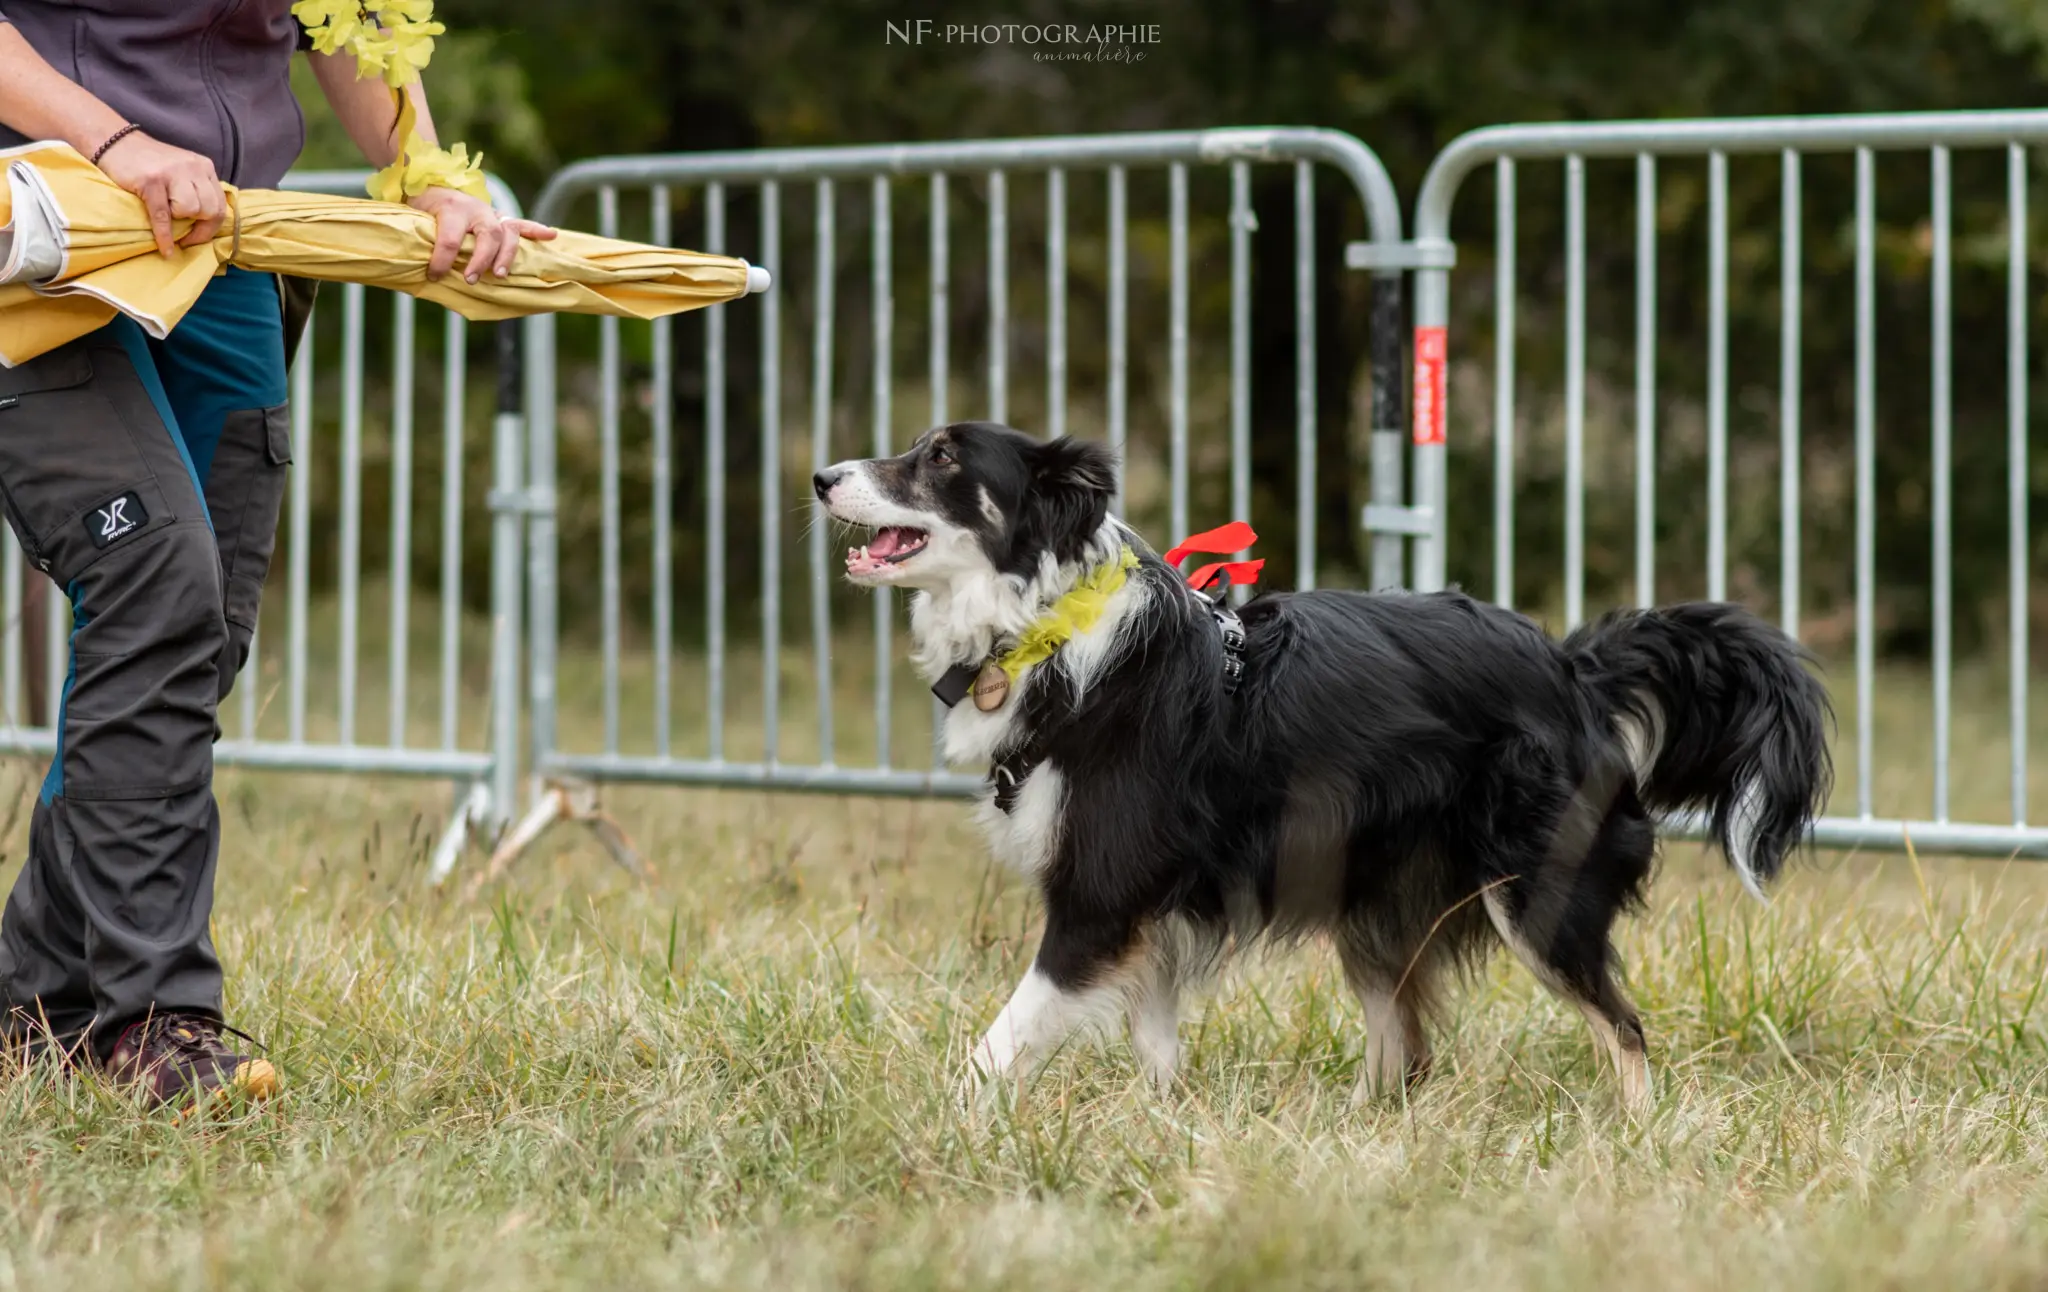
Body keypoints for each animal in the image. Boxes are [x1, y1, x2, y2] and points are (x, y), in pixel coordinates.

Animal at [806, 423, 1835, 1113]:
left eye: (943, 458)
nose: (820, 477)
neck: (1046, 624)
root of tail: (1573, 666)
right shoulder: (1147, 913)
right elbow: (1156, 1042)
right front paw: (1169, 1130)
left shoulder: (1099, 900)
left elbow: (1004, 1038)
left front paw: (939, 1118)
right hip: (1374, 902)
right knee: (1408, 1048)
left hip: (1537, 895)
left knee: (1622, 1024)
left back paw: (1634, 1130)